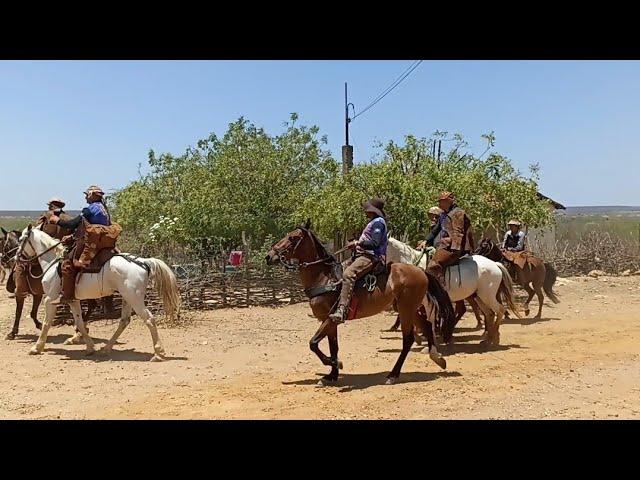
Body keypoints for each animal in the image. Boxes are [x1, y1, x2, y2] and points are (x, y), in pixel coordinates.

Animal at [16, 225, 180, 360]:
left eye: (21, 239)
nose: (17, 257)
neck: (53, 262)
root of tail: (143, 262)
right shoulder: (73, 300)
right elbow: (80, 322)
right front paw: (89, 347)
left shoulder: (50, 299)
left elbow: (46, 323)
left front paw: (37, 348)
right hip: (127, 298)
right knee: (124, 321)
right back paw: (106, 348)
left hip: (135, 299)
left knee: (149, 320)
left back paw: (159, 353)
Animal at [264, 222, 456, 386]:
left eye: (292, 238)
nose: (269, 256)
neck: (324, 277)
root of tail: (421, 271)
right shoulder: (330, 321)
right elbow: (333, 346)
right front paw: (331, 375)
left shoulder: (331, 318)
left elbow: (313, 343)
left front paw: (336, 364)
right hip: (410, 309)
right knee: (426, 326)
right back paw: (437, 358)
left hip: (406, 310)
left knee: (408, 339)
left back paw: (393, 375)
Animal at [384, 237, 520, 344]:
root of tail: (495, 264)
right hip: (479, 297)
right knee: (489, 313)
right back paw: (485, 338)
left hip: (487, 296)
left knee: (499, 310)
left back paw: (492, 338)